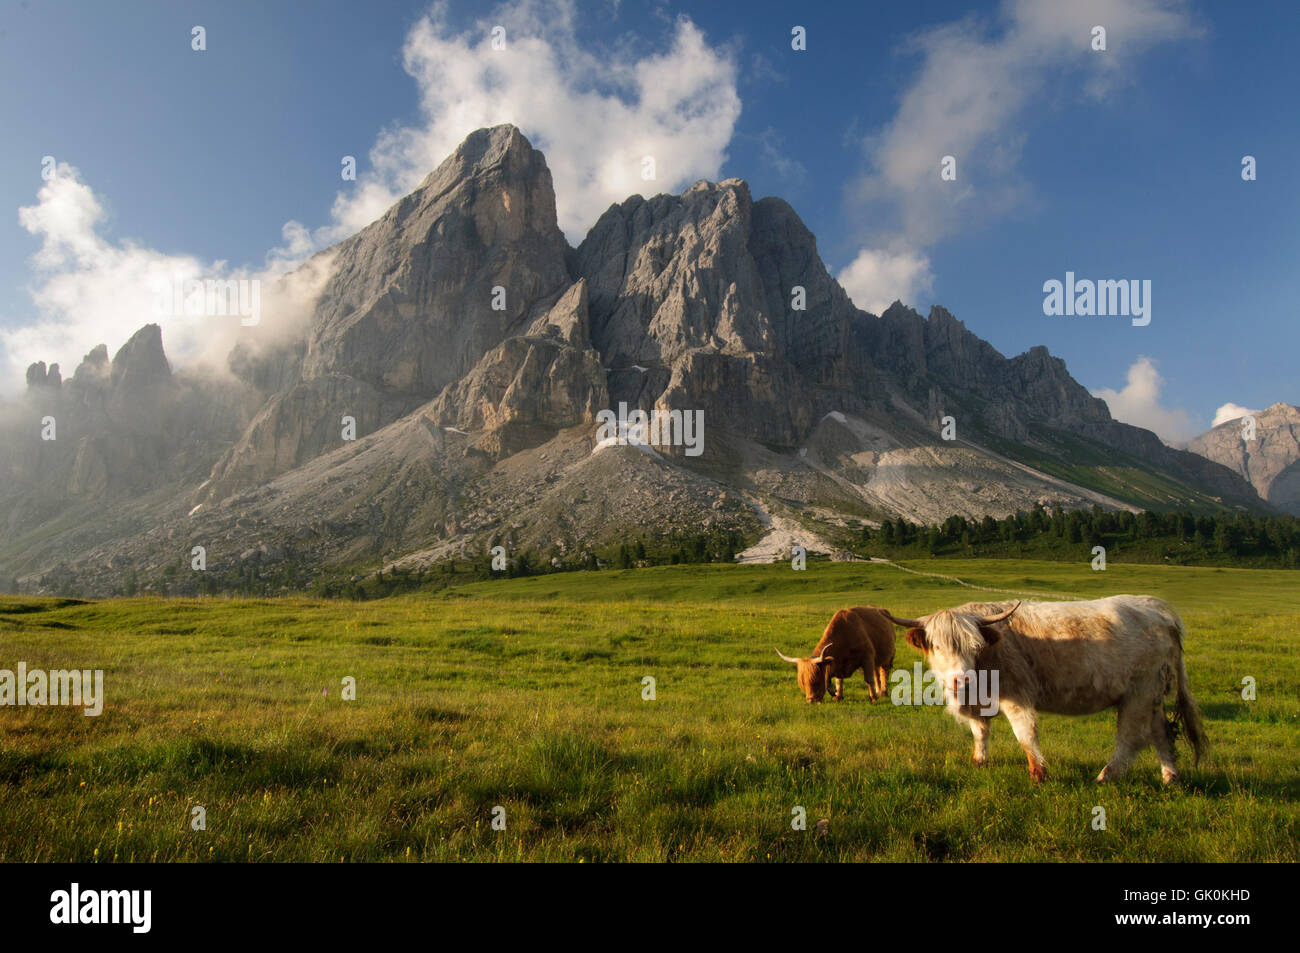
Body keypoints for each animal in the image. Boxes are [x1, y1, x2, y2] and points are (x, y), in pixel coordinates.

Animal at [883, 595, 1206, 780]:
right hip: (1152, 696)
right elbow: (980, 732)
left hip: (1139, 692)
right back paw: (1170, 778)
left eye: (975, 646)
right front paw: (979, 761)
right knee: (1161, 733)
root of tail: (1159, 609)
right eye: (937, 646)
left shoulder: (1017, 695)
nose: (962, 680)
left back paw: (1106, 775)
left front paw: (1038, 773)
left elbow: (1025, 733)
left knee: (1131, 738)